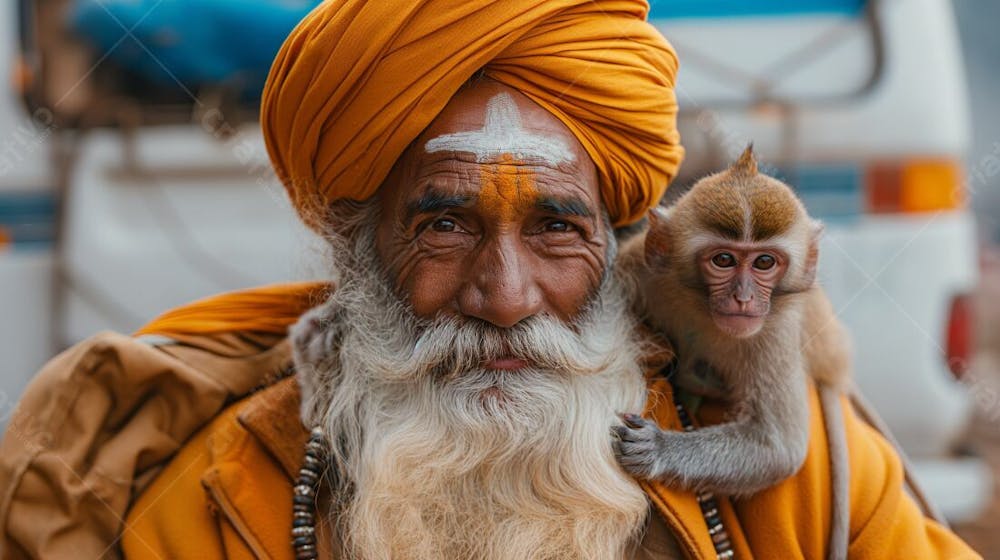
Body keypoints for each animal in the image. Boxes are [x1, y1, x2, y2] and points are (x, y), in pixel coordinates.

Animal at [608, 145, 852, 498]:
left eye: (764, 262)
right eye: (723, 260)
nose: (744, 298)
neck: (701, 309)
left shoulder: (773, 331)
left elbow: (777, 446)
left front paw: (659, 448)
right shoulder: (636, 271)